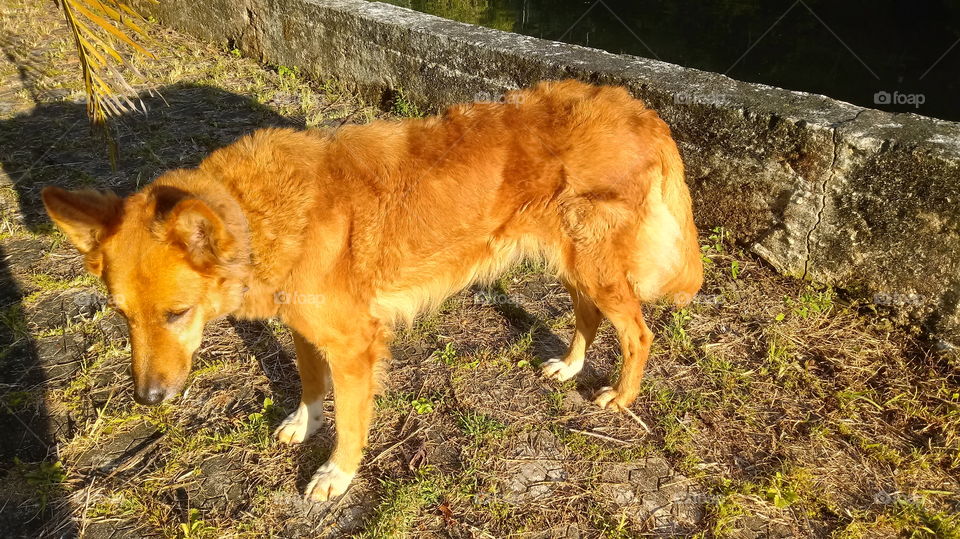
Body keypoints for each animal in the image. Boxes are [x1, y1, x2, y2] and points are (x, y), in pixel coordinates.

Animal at [42, 79, 702, 501]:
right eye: (122, 317)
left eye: (177, 314)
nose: (148, 400)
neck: (261, 213)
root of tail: (639, 109)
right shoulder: (304, 329)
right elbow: (311, 388)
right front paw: (302, 425)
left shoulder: (355, 347)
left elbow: (352, 422)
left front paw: (337, 476)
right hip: (573, 263)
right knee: (590, 317)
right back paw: (571, 367)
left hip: (595, 266)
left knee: (639, 332)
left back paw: (620, 397)